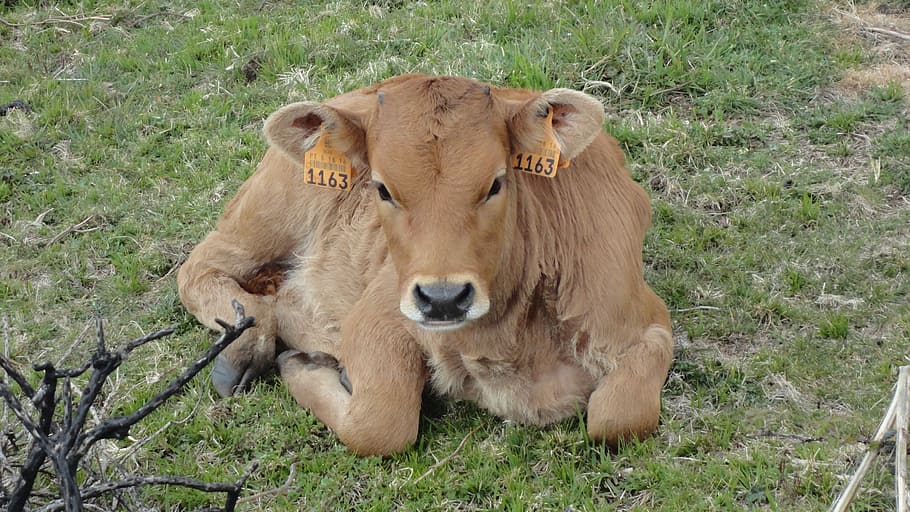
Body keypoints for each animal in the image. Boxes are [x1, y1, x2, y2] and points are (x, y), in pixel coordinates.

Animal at [177, 74, 672, 456]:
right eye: (382, 188)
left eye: (496, 183)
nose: (443, 298)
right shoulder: (379, 313)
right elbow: (380, 424)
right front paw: (307, 367)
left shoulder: (646, 323)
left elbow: (617, 418)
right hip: (268, 211)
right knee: (199, 267)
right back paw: (248, 345)